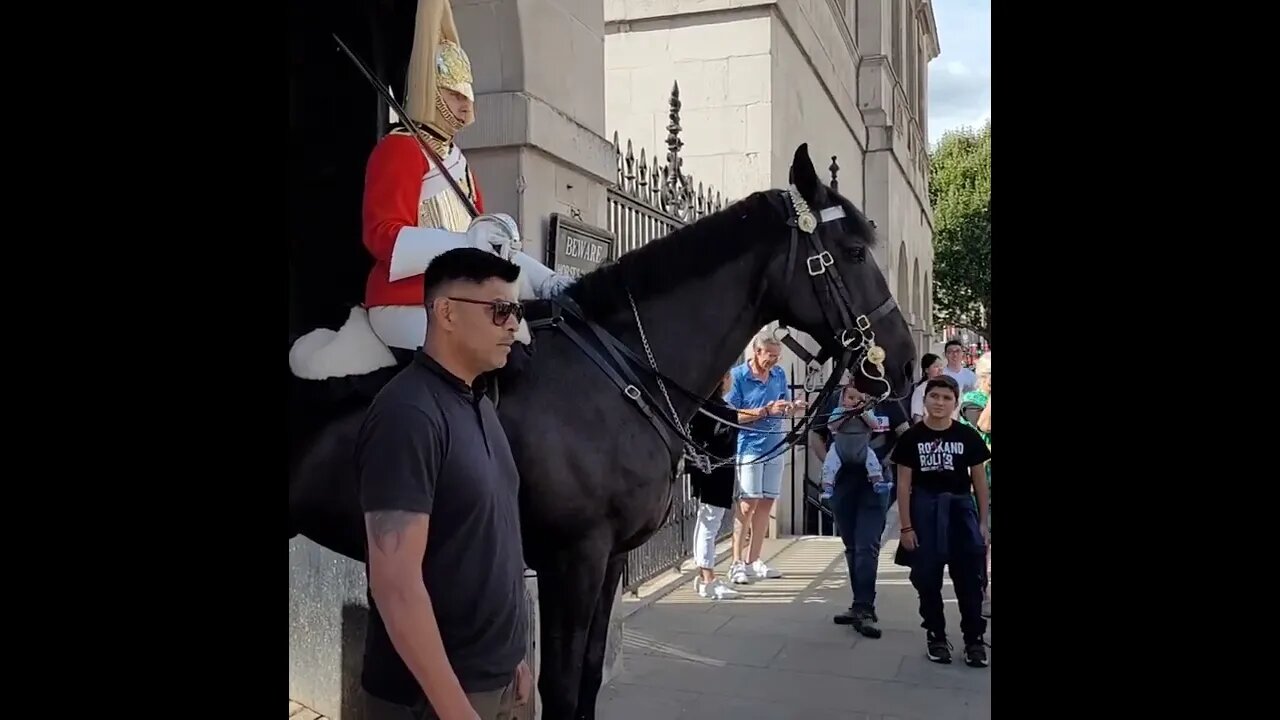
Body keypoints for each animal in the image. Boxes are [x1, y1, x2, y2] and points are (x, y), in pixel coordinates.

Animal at [290, 142, 916, 712]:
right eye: (854, 251)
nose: (906, 363)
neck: (621, 373)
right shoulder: (573, 559)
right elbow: (562, 685)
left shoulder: (610, 559)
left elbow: (590, 674)